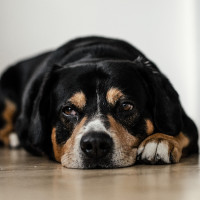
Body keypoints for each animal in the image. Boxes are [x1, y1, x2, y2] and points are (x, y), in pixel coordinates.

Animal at [0, 36, 198, 169]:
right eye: (68, 110)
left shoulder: (185, 122)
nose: (95, 144)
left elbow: (179, 131)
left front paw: (159, 141)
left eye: (126, 106)